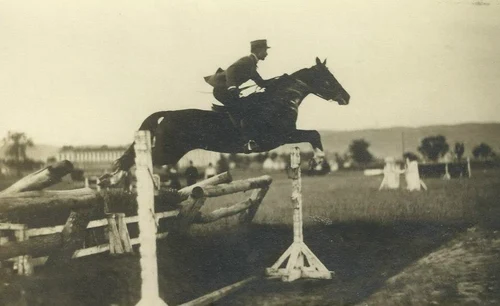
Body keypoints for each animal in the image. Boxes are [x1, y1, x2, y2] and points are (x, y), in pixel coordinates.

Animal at [100, 57, 352, 186]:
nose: (347, 98)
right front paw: (318, 162)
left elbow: (313, 134)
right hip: (168, 151)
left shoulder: (284, 137)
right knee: (138, 158)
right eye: (328, 79)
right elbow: (314, 134)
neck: (279, 100)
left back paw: (113, 178)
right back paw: (114, 177)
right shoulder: (281, 136)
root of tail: (167, 113)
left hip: (172, 152)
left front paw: (317, 163)